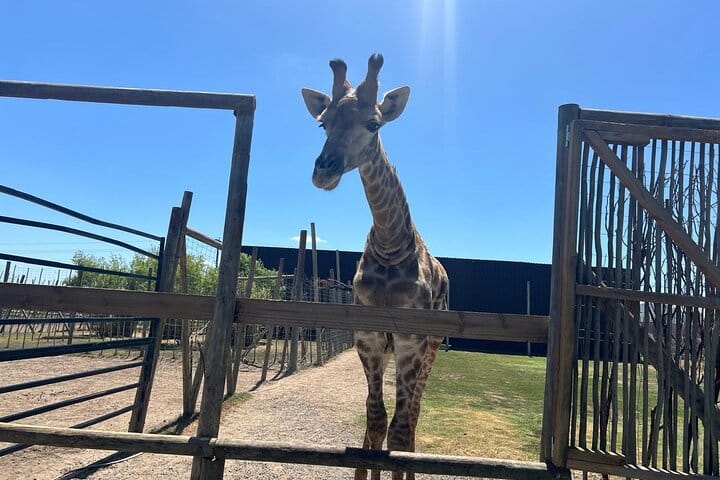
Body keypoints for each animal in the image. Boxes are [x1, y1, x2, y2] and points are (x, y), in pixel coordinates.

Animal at [301, 54, 449, 480]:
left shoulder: (411, 341)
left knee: (413, 417)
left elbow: (399, 428)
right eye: (323, 123)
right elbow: (374, 421)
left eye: (374, 123)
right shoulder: (367, 337)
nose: (324, 171)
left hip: (431, 351)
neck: (389, 244)